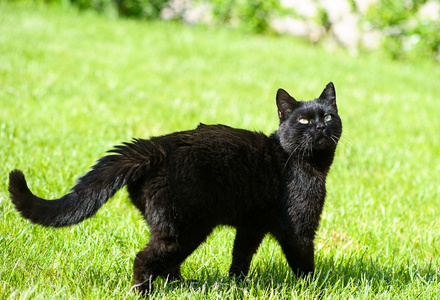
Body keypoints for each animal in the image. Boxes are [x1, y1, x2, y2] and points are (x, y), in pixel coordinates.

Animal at [8, 82, 342, 296]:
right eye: (303, 120)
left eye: (328, 116)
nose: (320, 127)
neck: (297, 159)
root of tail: (154, 146)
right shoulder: (298, 228)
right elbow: (303, 262)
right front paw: (315, 289)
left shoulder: (250, 227)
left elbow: (240, 258)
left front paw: (237, 285)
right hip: (185, 229)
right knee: (144, 259)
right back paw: (145, 293)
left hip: (178, 227)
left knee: (168, 266)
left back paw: (186, 287)